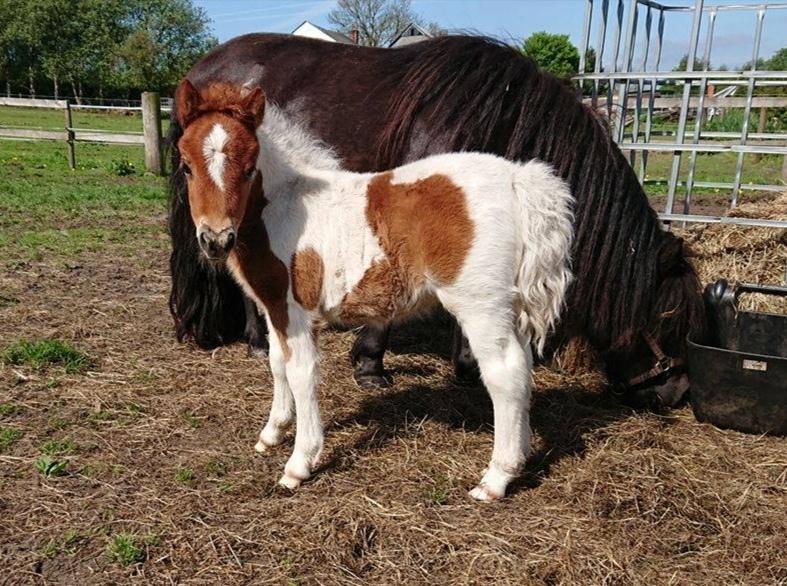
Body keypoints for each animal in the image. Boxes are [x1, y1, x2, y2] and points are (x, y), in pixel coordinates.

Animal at [168, 34, 708, 404]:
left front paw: (467, 363)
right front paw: (372, 366)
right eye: (668, 319)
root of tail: (205, 69)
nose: (679, 392)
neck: (507, 121)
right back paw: (260, 342)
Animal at [177, 81, 572, 502]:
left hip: (481, 306)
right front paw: (272, 434)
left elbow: (301, 373)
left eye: (250, 168)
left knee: (504, 374)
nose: (216, 239)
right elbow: (276, 364)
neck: (282, 208)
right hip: (507, 308)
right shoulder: (274, 306)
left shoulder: (297, 311)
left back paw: (496, 479)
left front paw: (299, 464)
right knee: (523, 369)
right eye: (186, 166)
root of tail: (517, 179)